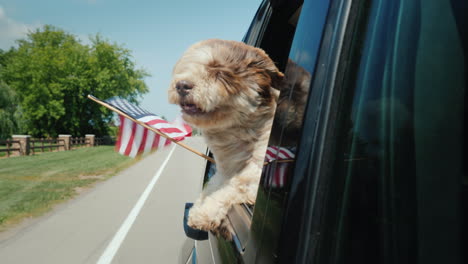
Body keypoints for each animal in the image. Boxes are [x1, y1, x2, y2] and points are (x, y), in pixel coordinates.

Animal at [169, 39, 284, 239]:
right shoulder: (223, 170)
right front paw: (199, 206)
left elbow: (235, 186)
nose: (181, 85)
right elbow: (213, 185)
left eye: (219, 71)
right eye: (191, 66)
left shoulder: (258, 172)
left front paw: (204, 212)